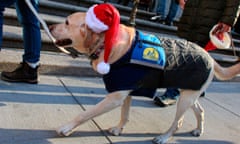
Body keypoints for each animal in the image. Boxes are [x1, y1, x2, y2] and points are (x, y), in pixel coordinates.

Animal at [48, 4, 240, 144]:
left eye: (66, 22)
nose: (49, 25)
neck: (107, 42)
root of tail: (210, 56)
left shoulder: (115, 96)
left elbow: (85, 114)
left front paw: (66, 128)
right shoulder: (125, 89)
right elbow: (124, 114)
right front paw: (118, 129)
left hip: (185, 99)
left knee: (178, 122)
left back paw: (163, 137)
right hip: (189, 93)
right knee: (200, 111)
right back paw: (199, 130)